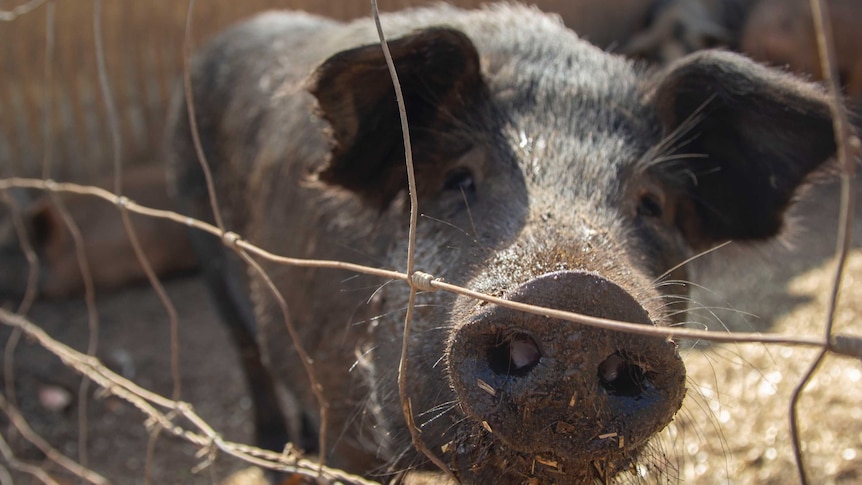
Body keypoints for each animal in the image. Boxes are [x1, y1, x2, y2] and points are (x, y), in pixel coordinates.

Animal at [167, 4, 836, 484]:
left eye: (652, 203)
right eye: (459, 177)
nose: (577, 295)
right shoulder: (342, 415)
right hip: (199, 233)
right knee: (248, 353)